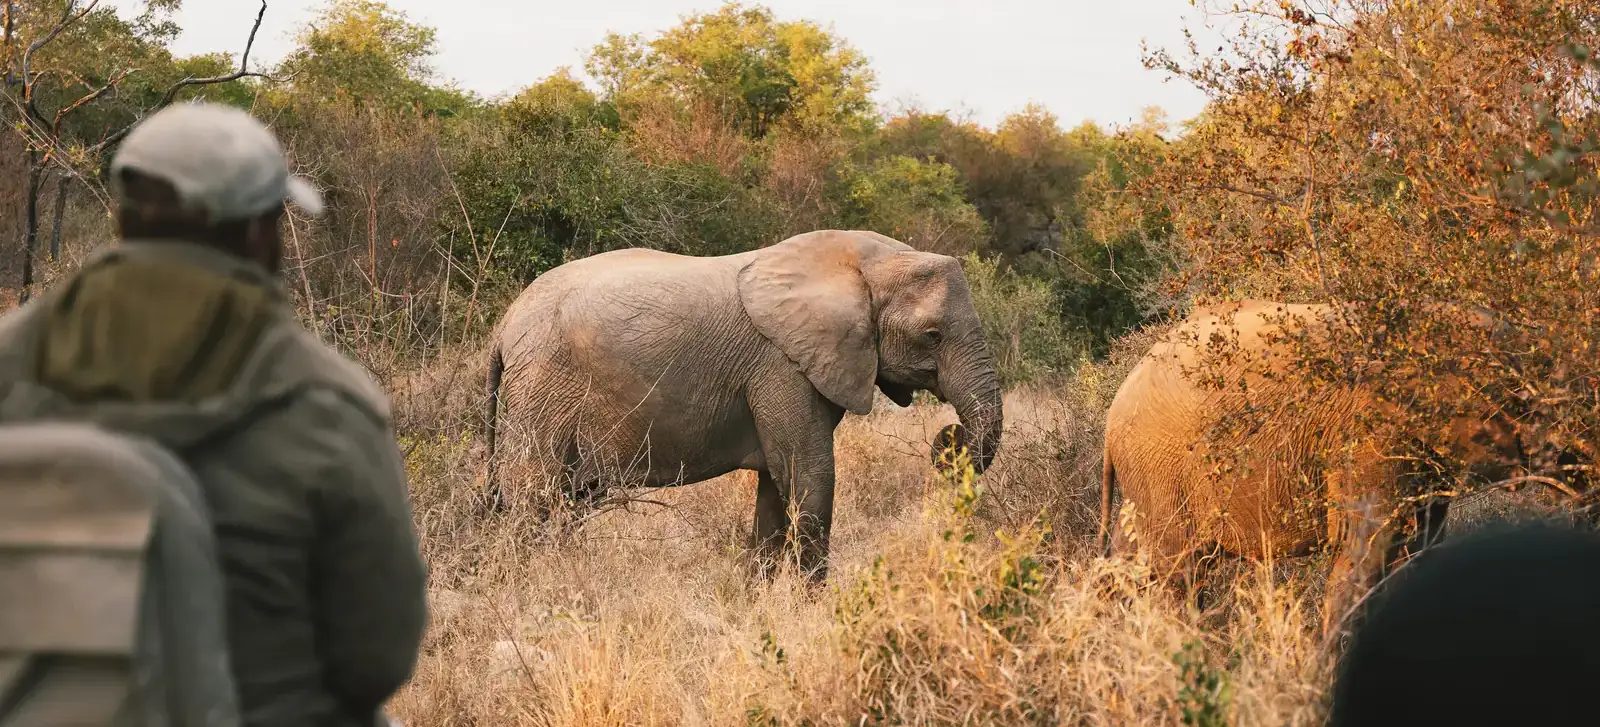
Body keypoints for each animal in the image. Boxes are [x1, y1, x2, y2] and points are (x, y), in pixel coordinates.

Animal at [482, 229, 1004, 581]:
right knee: (535, 497)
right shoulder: (782, 365)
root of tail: (505, 324)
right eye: (932, 336)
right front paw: (811, 607)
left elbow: (777, 483)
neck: (859, 265)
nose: (947, 440)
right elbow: (809, 474)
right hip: (545, 389)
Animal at [1098, 299, 1522, 634]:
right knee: (1179, 572)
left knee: (1130, 557)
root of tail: (1113, 412)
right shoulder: (1368, 437)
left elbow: (1418, 551)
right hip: (1162, 468)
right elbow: (1367, 551)